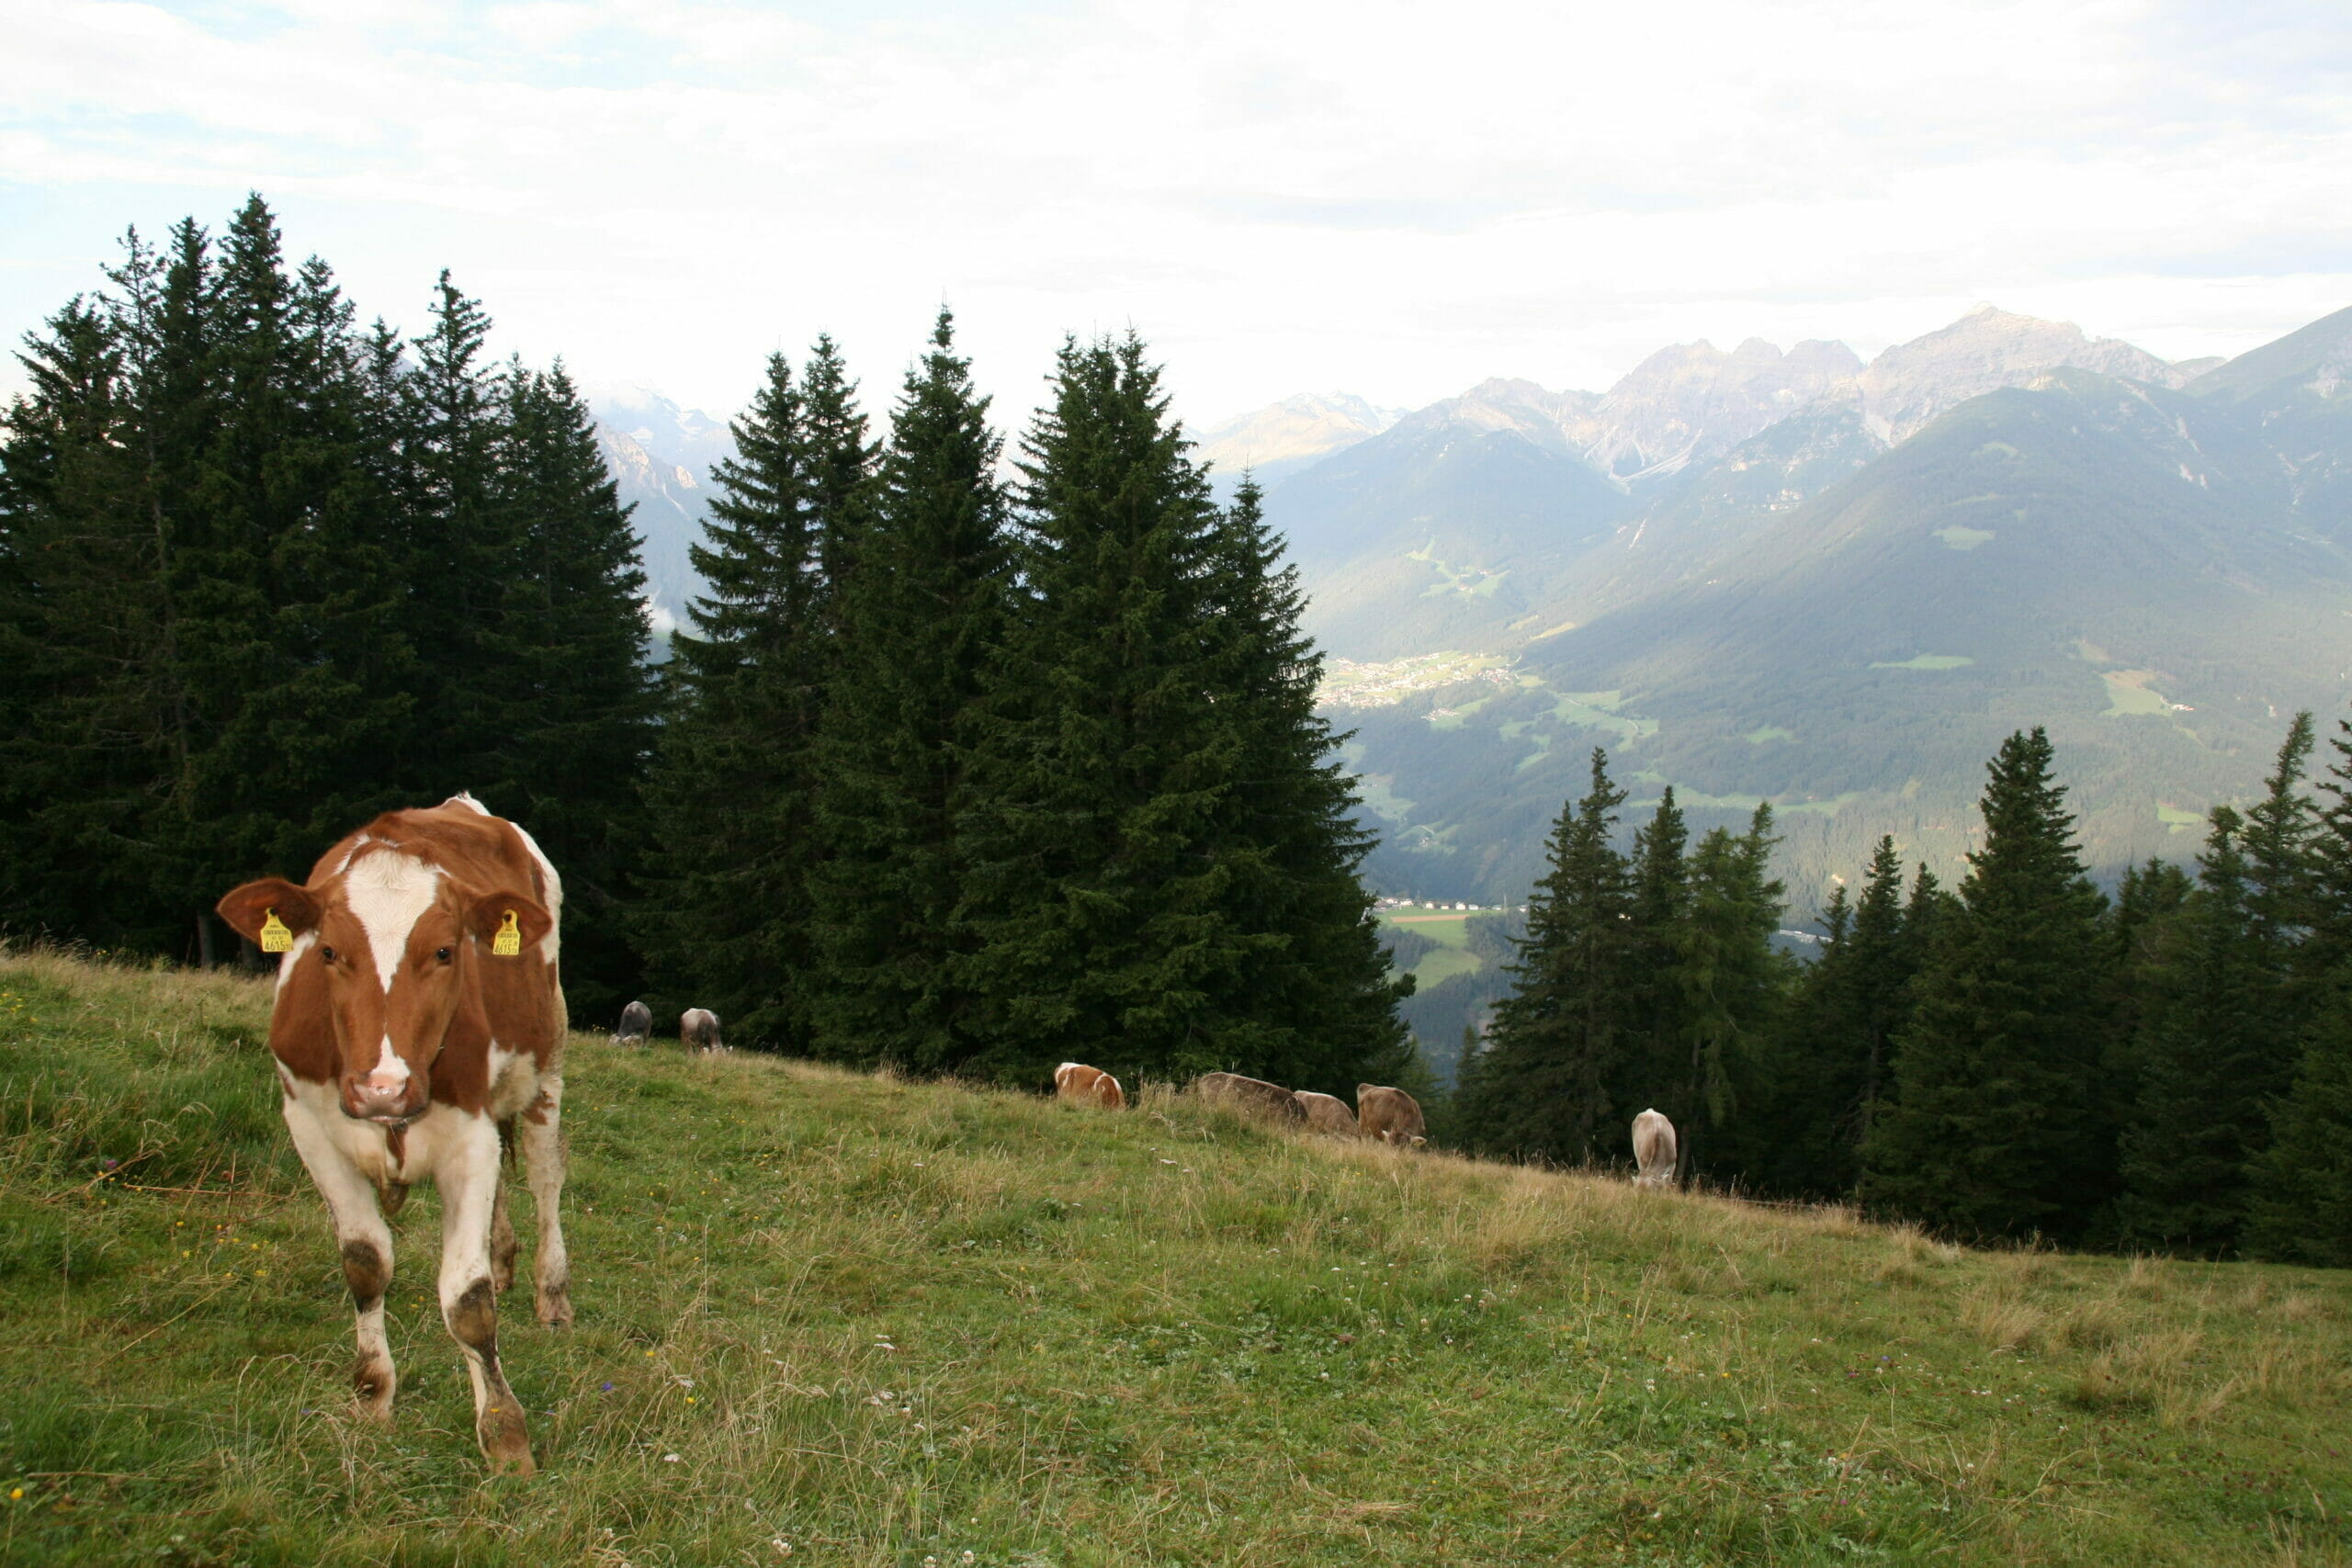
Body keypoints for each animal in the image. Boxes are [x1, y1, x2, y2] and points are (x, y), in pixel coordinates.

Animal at [214, 793, 568, 1476]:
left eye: (446, 951)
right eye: (327, 951)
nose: (382, 1088)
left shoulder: (469, 1136)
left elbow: (467, 1301)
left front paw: (505, 1436)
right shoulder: (310, 1126)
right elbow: (365, 1265)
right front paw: (372, 1396)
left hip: (547, 1064)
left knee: (544, 1178)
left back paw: (551, 1292)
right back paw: (504, 1260)